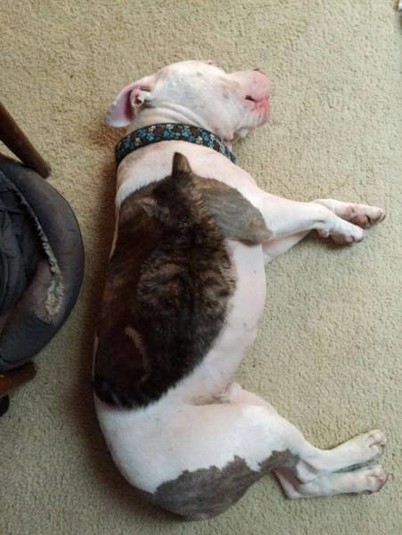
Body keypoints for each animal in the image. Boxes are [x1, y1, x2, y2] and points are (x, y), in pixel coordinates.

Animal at [93, 60, 388, 520]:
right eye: (207, 66)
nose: (258, 68)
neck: (170, 131)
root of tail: (155, 494)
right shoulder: (259, 214)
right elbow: (314, 209)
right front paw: (347, 228)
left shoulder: (264, 238)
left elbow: (319, 206)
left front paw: (354, 215)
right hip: (256, 427)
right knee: (312, 463)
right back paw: (363, 448)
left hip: (250, 411)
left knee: (302, 480)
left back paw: (362, 478)